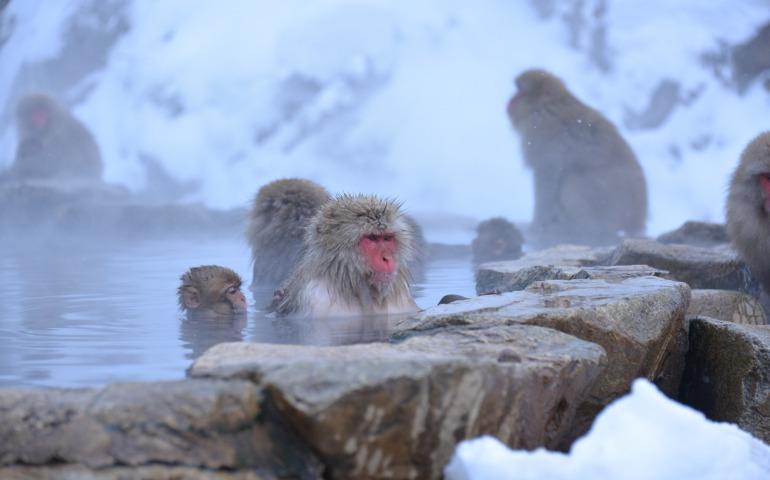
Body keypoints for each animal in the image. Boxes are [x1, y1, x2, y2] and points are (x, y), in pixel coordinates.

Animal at [507, 69, 648, 247]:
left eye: (519, 92)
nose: (509, 101)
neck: (548, 104)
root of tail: (636, 224)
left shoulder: (542, 138)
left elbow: (547, 177)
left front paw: (536, 226)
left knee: (571, 180)